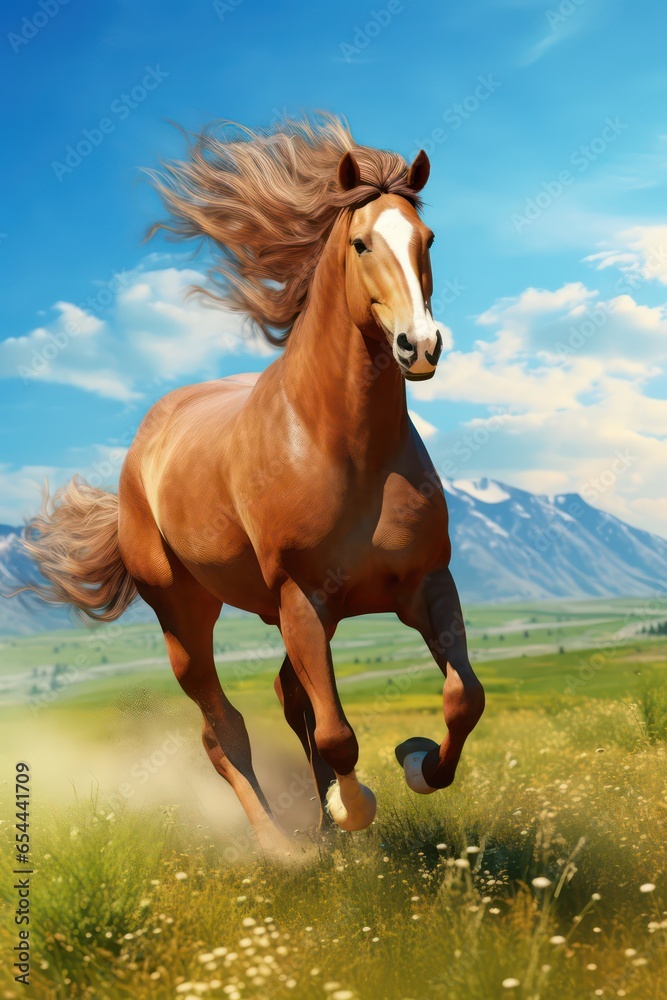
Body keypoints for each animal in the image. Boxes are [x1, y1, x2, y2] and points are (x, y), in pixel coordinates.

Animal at [22, 114, 485, 855]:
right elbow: (337, 732)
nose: (419, 347)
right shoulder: (302, 599)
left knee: (287, 699)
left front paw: (415, 761)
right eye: (360, 243)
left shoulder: (424, 584)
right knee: (223, 730)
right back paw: (281, 848)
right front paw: (351, 807)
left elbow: (462, 698)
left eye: (427, 239)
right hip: (185, 620)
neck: (342, 446)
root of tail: (144, 443)